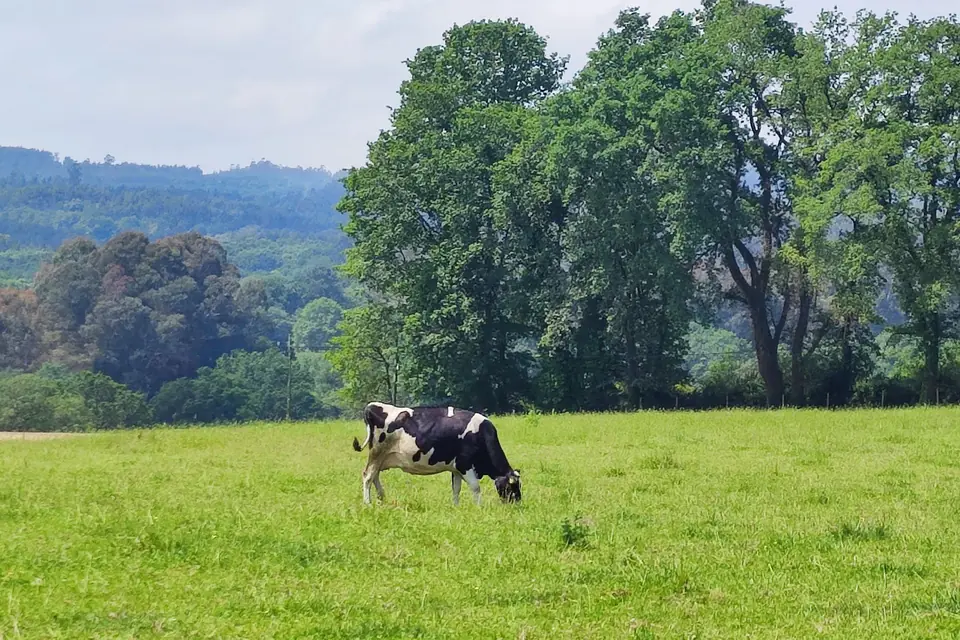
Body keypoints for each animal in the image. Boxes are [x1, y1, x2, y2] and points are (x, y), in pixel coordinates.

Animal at [351, 401, 522, 506]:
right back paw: (368, 503)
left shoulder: (456, 468)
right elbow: (475, 487)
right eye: (512, 487)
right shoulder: (465, 464)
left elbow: (456, 489)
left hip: (382, 457)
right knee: (368, 476)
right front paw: (479, 507)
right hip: (377, 452)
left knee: (375, 475)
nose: (518, 503)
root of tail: (373, 406)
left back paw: (382, 497)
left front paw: (456, 506)